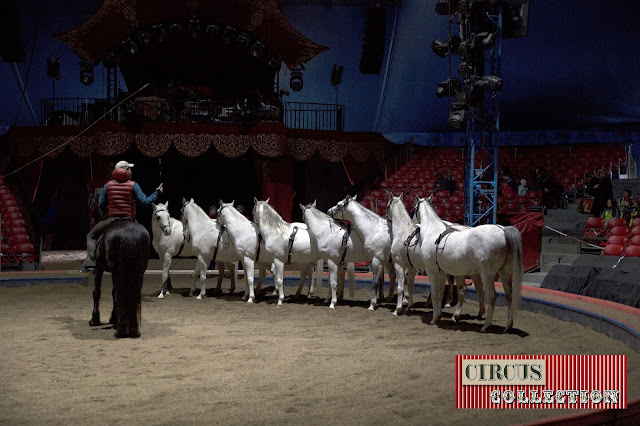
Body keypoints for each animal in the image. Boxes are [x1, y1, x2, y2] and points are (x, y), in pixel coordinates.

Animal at [412, 196, 524, 332]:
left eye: (414, 208)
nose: (413, 222)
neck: (432, 231)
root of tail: (503, 230)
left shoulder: (431, 271)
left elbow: (434, 293)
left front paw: (434, 319)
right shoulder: (441, 272)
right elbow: (441, 292)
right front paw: (439, 315)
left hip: (488, 274)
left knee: (492, 296)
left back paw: (485, 326)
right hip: (504, 272)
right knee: (509, 296)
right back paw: (508, 326)